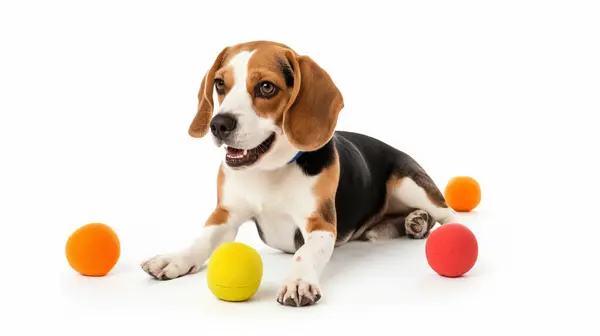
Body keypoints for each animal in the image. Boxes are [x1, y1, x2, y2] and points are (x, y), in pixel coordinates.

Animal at [142, 40, 454, 308]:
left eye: (266, 87)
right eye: (220, 84)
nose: (218, 124)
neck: (269, 170)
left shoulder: (320, 223)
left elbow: (305, 253)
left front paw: (298, 282)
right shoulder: (226, 214)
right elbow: (201, 241)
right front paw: (174, 258)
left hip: (408, 183)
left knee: (448, 214)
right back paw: (415, 222)